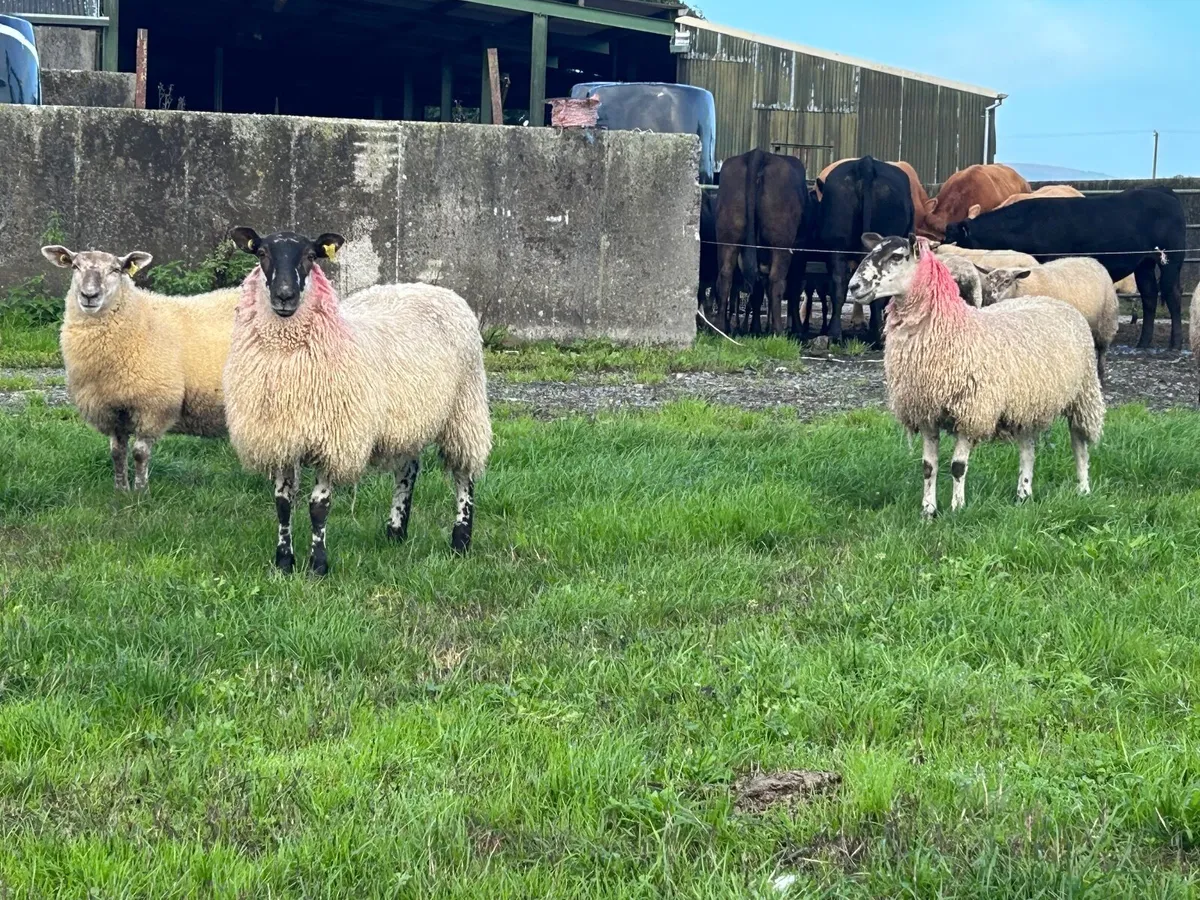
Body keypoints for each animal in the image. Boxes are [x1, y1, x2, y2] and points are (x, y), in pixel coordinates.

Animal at [41, 245, 240, 491]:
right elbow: (117, 453)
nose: (89, 295)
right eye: (75, 266)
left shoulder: (153, 405)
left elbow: (139, 453)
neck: (138, 318)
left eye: (115, 270)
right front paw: (121, 490)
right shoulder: (112, 409)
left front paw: (141, 491)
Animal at [222, 228, 492, 576]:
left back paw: (460, 541)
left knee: (464, 475)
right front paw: (283, 562)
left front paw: (318, 566)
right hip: (408, 417)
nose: (284, 296)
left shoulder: (334, 440)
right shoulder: (280, 437)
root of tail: (430, 287)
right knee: (408, 469)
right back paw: (396, 531)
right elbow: (282, 503)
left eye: (310, 256)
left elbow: (318, 506)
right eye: (262, 254)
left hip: (464, 408)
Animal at [852, 235, 1104, 517]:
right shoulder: (926, 412)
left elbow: (957, 466)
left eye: (896, 256)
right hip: (1027, 403)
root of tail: (1055, 302)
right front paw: (928, 511)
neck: (952, 328)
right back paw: (1023, 494)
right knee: (1028, 450)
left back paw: (1083, 489)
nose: (854, 286)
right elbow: (928, 466)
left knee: (1079, 444)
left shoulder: (972, 411)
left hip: (1083, 393)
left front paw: (956, 509)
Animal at [979, 257, 1119, 386]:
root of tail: (1094, 260)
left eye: (1007, 281)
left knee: (1102, 351)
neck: (1020, 289)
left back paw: (1101, 376)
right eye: (988, 279)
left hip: (1106, 322)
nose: (989, 299)